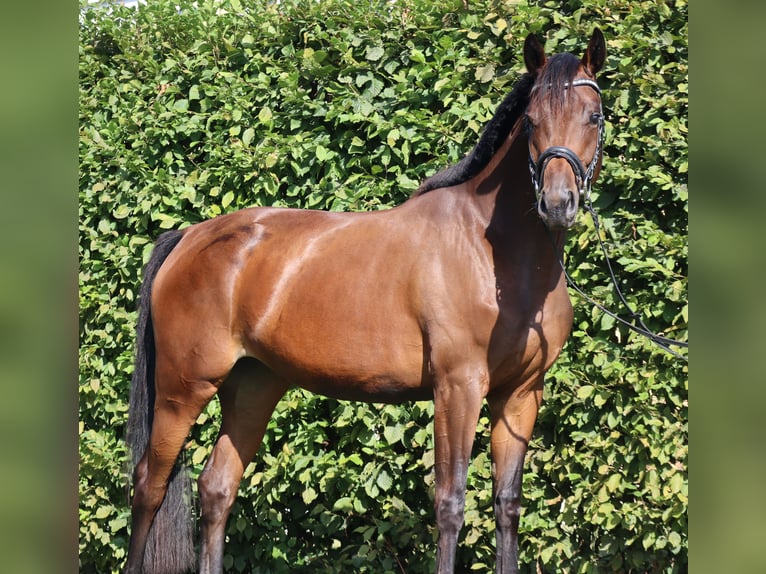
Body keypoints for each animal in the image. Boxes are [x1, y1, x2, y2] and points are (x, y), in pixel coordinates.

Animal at [124, 29, 608, 574]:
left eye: (594, 116)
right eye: (530, 121)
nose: (557, 203)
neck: (494, 252)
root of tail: (188, 237)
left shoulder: (521, 394)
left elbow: (506, 504)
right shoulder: (458, 387)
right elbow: (450, 503)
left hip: (254, 385)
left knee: (216, 488)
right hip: (183, 389)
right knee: (148, 488)